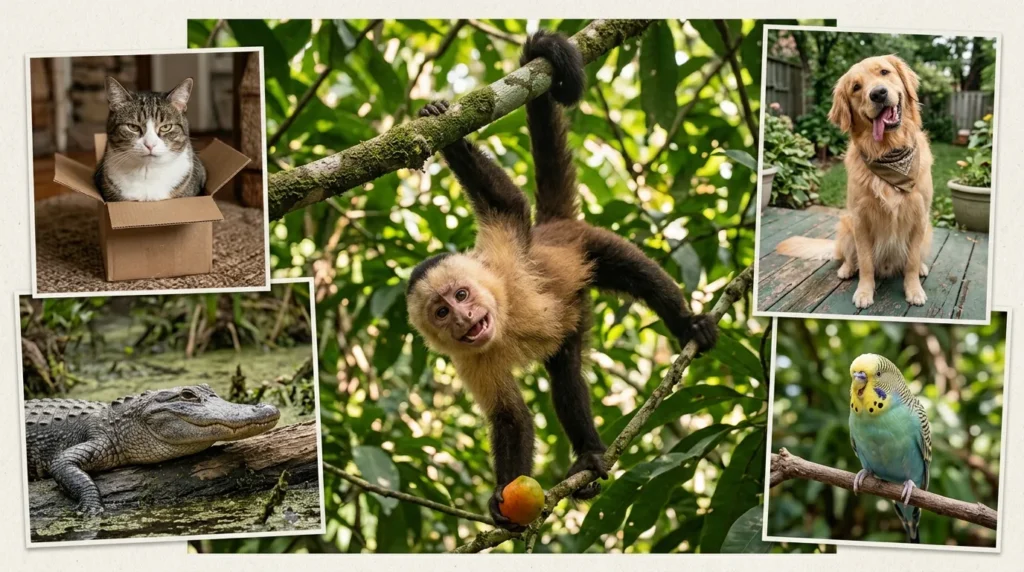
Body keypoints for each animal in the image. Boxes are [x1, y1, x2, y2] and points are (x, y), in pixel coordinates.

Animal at [405, 31, 719, 531]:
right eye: (441, 312)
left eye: (461, 293)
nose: (463, 318)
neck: (502, 315)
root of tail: (553, 226)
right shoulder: (468, 360)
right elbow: (509, 416)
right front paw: (501, 499)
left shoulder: (502, 257)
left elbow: (508, 204)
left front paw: (445, 134)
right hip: (574, 312)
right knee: (565, 374)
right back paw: (588, 458)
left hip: (583, 243)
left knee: (633, 270)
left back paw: (686, 324)